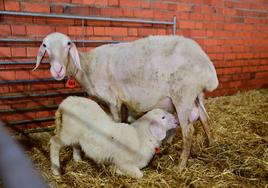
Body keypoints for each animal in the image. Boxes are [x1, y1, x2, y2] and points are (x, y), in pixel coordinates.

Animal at [50, 96, 178, 178]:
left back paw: (78, 159)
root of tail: (66, 101)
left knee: (76, 144)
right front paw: (117, 171)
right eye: (163, 117)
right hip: (68, 132)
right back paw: (56, 170)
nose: (177, 120)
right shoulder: (124, 161)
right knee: (54, 143)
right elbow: (139, 174)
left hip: (75, 133)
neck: (141, 136)